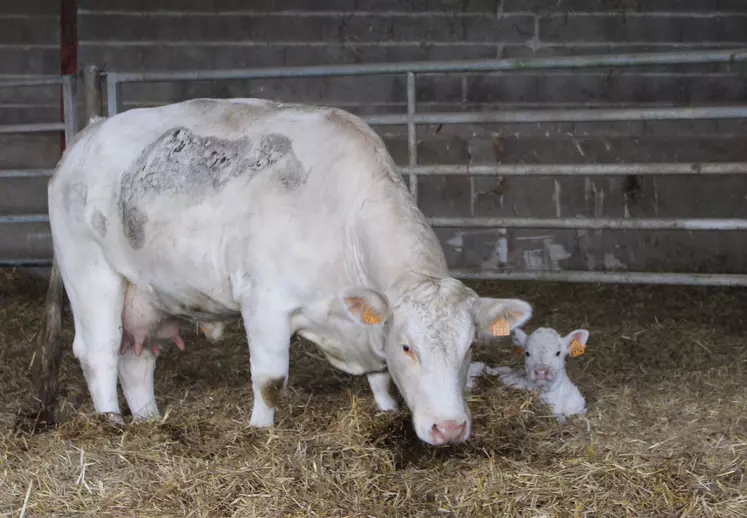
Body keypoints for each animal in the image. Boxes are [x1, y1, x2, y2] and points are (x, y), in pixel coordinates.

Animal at [42, 98, 532, 446]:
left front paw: (387, 411)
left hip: (145, 294)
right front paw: (261, 430)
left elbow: (378, 375)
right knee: (99, 352)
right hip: (91, 275)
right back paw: (111, 423)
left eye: (470, 348)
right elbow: (270, 379)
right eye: (408, 347)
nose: (449, 429)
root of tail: (87, 134)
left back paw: (148, 420)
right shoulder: (265, 303)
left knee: (136, 358)